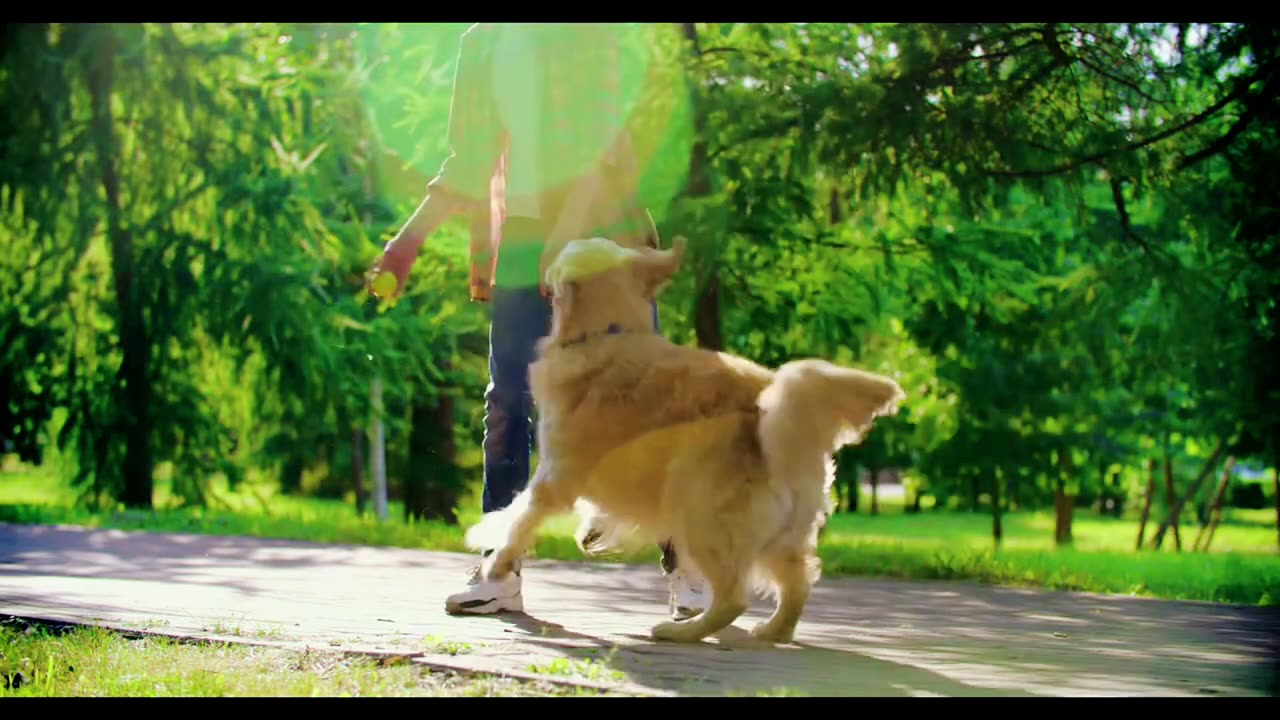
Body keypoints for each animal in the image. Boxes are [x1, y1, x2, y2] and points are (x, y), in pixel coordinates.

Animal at [468, 237, 901, 645]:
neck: (608, 333)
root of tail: (778, 421)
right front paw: (592, 531)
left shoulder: (555, 477)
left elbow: (517, 518)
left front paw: (496, 559)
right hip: (781, 536)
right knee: (798, 582)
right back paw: (773, 630)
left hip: (698, 515)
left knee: (733, 598)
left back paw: (682, 632)